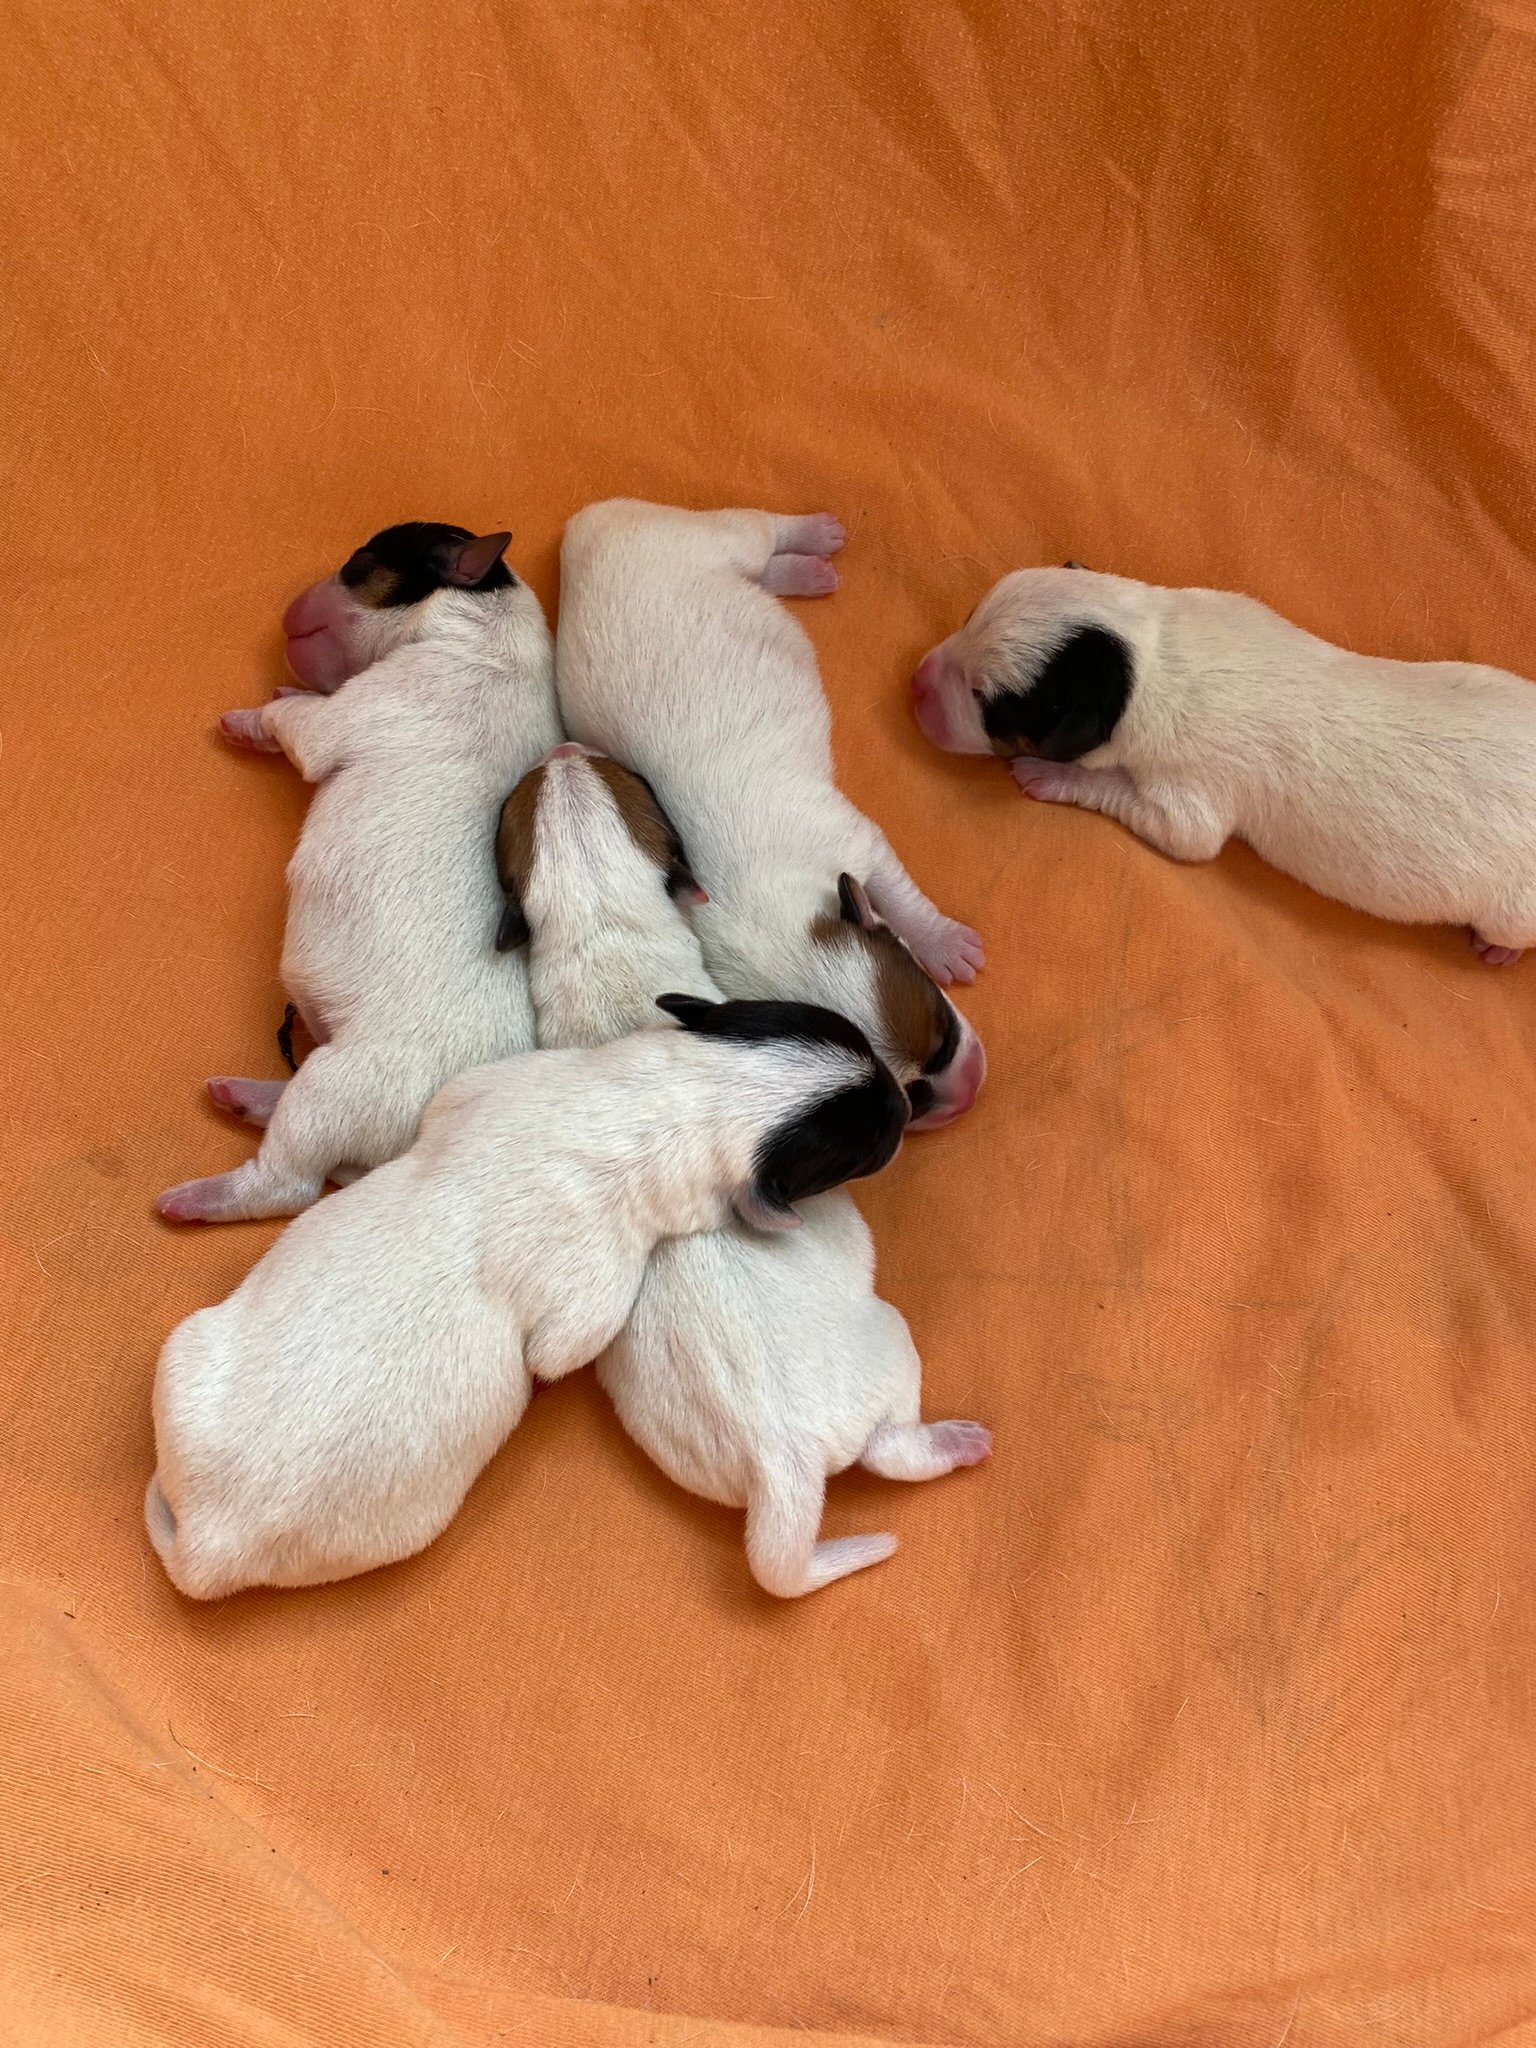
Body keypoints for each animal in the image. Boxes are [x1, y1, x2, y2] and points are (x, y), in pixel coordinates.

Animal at [146, 997, 911, 1597]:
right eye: (869, 1145)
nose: (908, 1103)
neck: (682, 1100)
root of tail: (209, 1547)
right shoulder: (602, 1277)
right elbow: (556, 1352)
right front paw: (543, 1378)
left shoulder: (493, 1085)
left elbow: (442, 1107)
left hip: (185, 1354)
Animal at [158, 522, 561, 1224]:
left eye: (357, 562)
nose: (288, 612)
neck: (481, 620)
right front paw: (285, 692)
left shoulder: (350, 714)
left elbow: (296, 722)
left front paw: (251, 719)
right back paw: (248, 1096)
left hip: (338, 1086)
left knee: (287, 1182)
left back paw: (199, 1196)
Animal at [497, 745, 989, 1596]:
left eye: (616, 783)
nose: (558, 750)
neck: (603, 935)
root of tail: (781, 1467)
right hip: (889, 1346)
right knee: (894, 1448)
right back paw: (959, 1442)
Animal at [554, 500, 987, 1125]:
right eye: (911, 1099)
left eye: (941, 1028)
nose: (971, 1087)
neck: (770, 903)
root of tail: (585, 529)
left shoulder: (857, 842)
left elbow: (904, 899)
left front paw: (947, 945)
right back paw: (806, 572)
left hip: (709, 538)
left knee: (758, 531)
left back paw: (816, 538)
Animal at [914, 563, 1536, 963]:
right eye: (968, 617)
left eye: (985, 700)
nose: (915, 682)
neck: (1152, 661)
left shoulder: (1191, 794)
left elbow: (1179, 830)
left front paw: (1050, 774)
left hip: (1515, 907)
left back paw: (1499, 949)